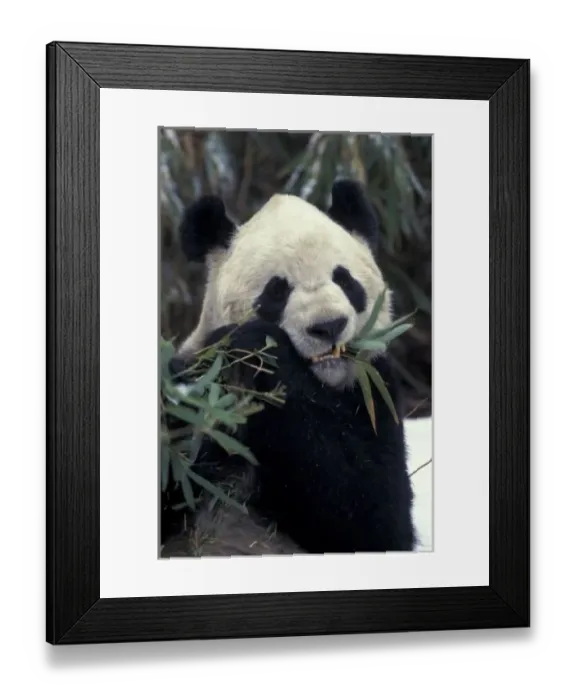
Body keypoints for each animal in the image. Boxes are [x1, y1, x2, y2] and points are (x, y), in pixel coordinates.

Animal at [161, 178, 417, 556]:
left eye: (345, 280)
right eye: (277, 291)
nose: (328, 326)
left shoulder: (376, 394)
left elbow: (370, 513)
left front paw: (260, 348)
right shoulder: (190, 389)